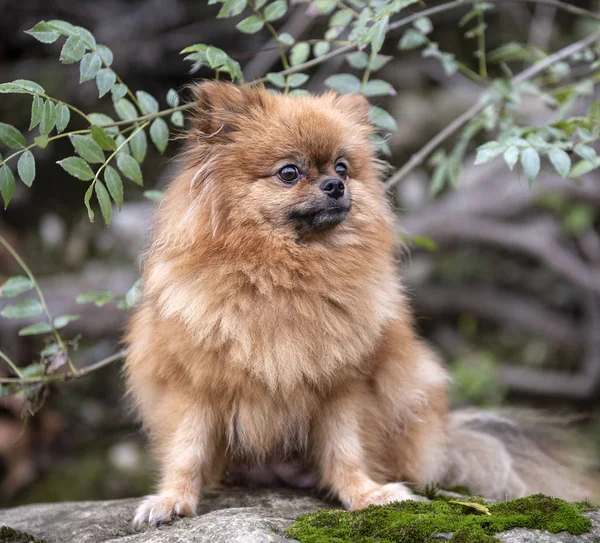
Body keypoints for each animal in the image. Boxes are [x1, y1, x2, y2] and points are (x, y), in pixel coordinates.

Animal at [126, 82, 596, 528]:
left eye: (342, 168)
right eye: (289, 172)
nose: (336, 185)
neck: (286, 274)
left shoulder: (342, 388)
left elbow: (345, 450)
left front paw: (366, 494)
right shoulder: (195, 386)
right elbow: (187, 451)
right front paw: (172, 500)